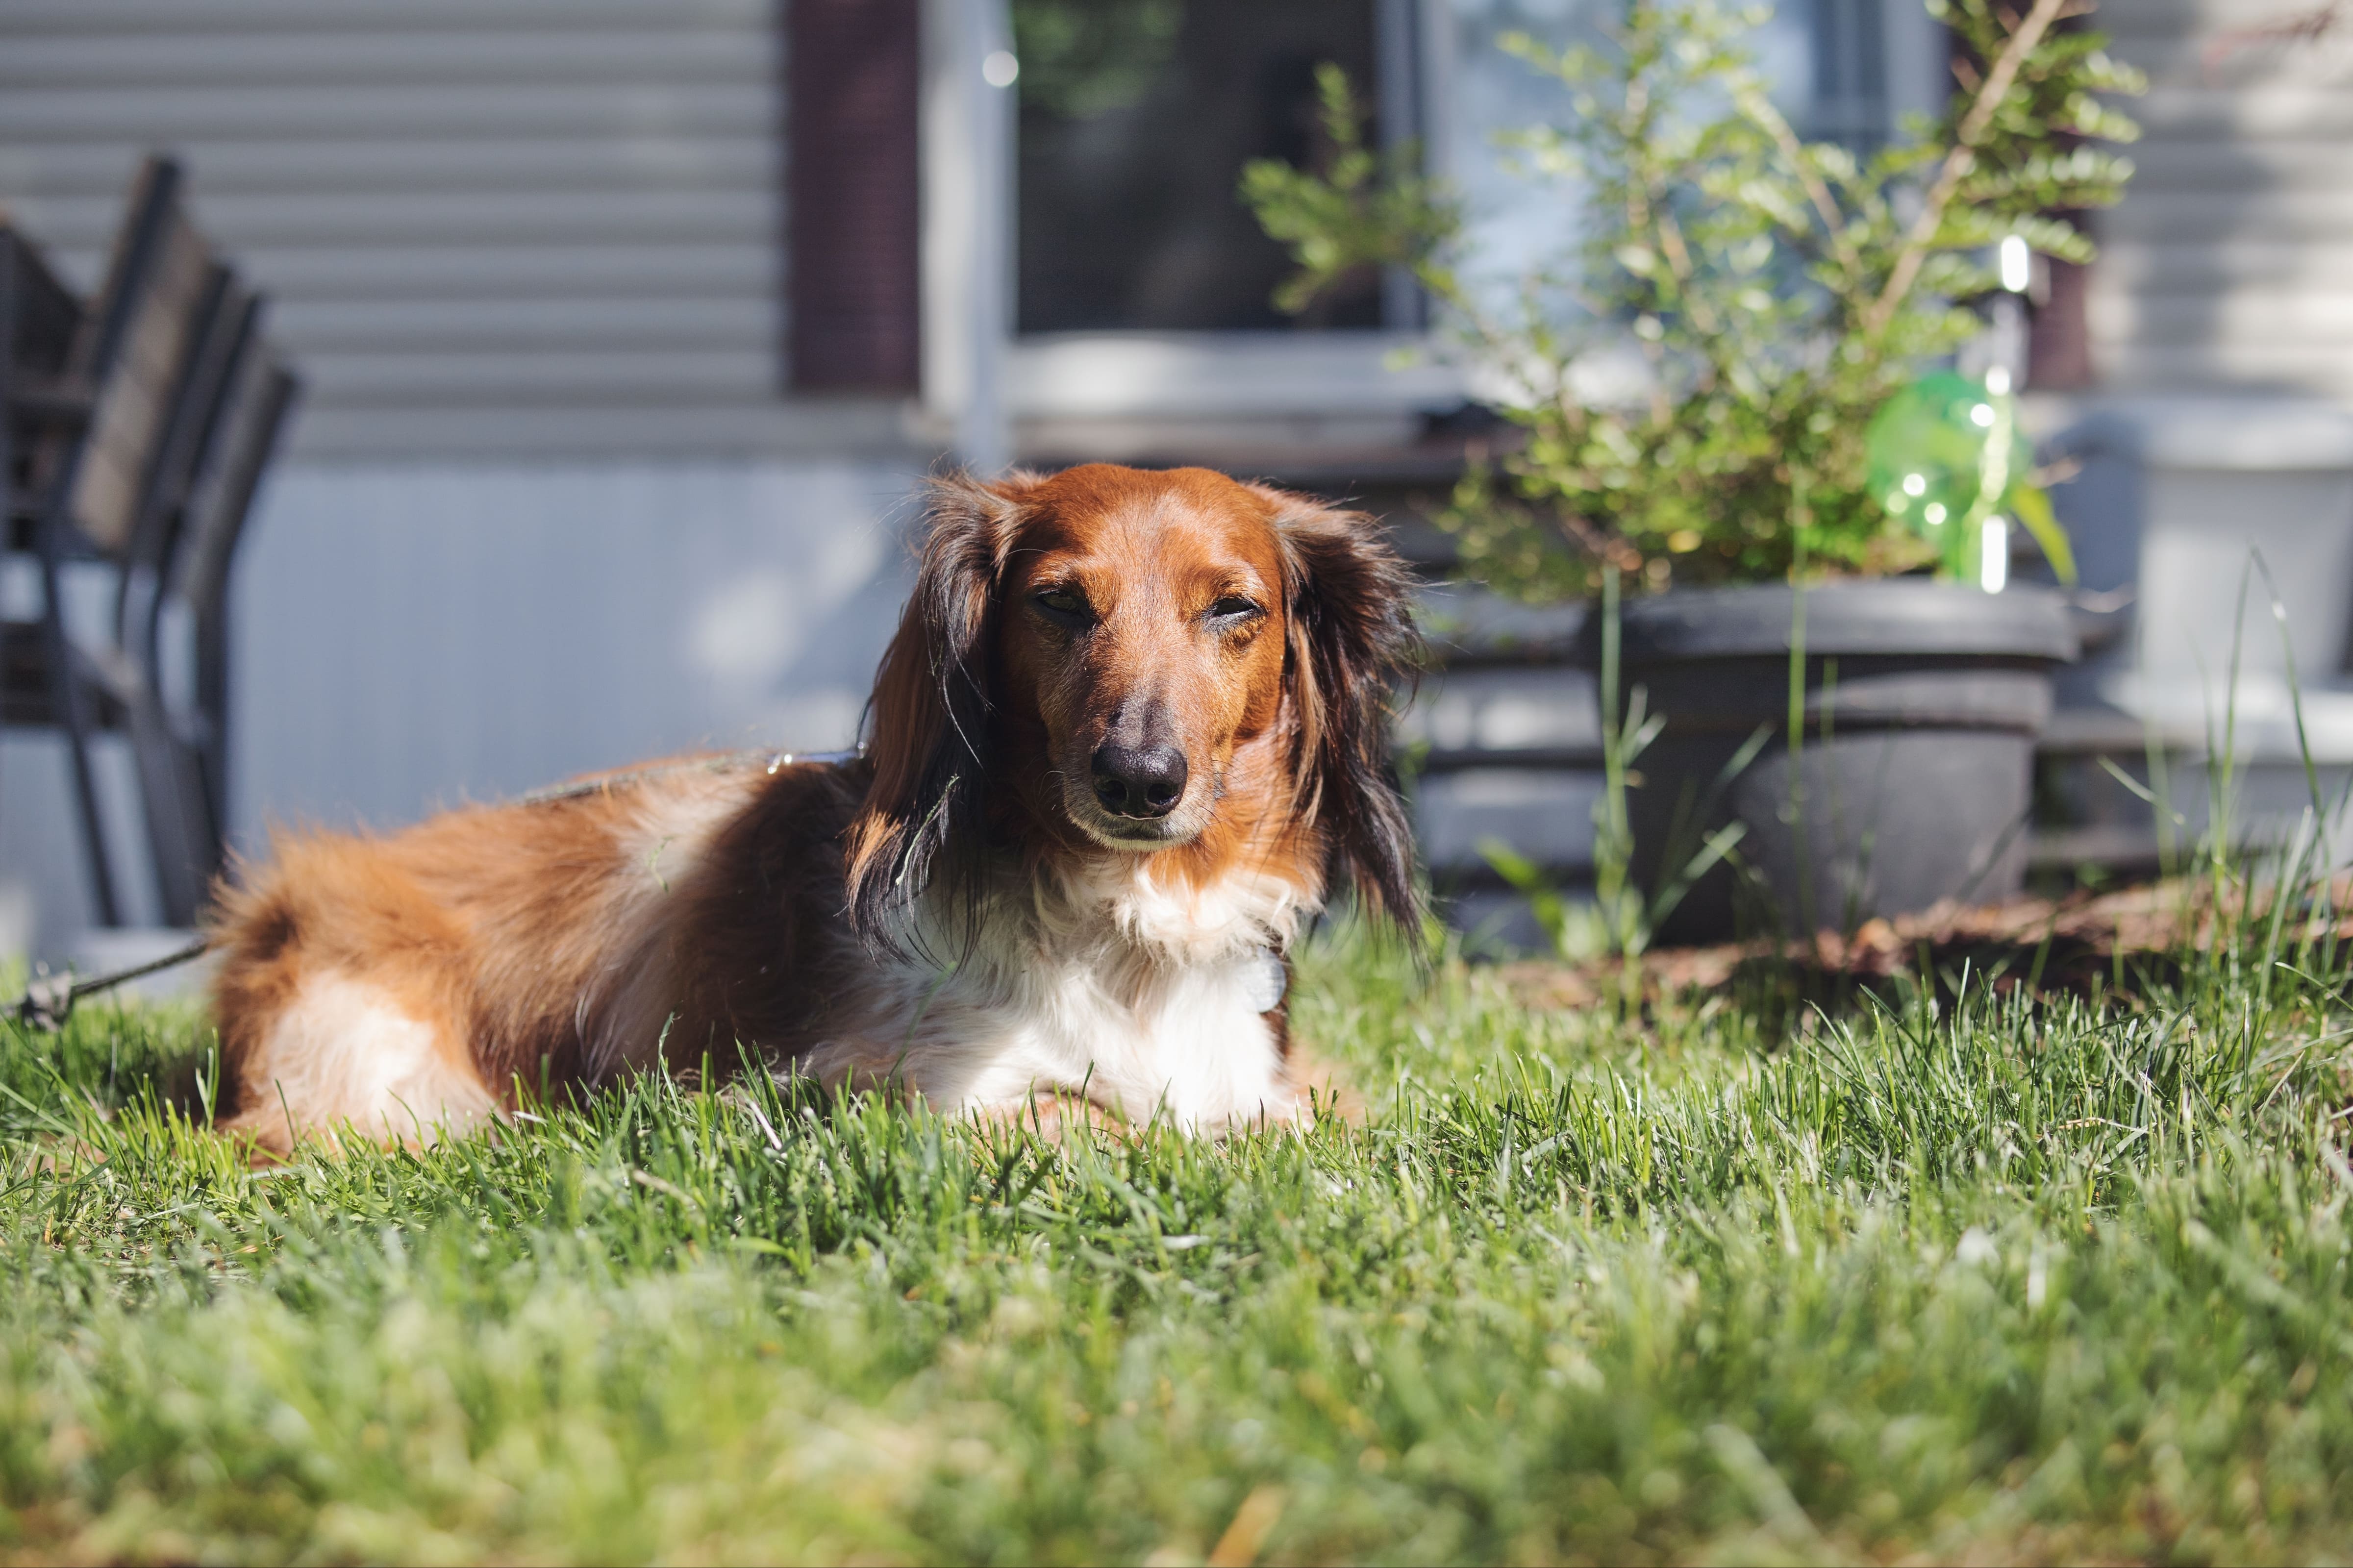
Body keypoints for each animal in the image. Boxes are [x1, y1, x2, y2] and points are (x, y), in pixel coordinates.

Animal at [207, 464, 1412, 1149]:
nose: (1140, 779)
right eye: (1061, 604)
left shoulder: (1269, 1079)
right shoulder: (901, 1088)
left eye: (1235, 609)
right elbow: (1100, 1122)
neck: (1129, 928)